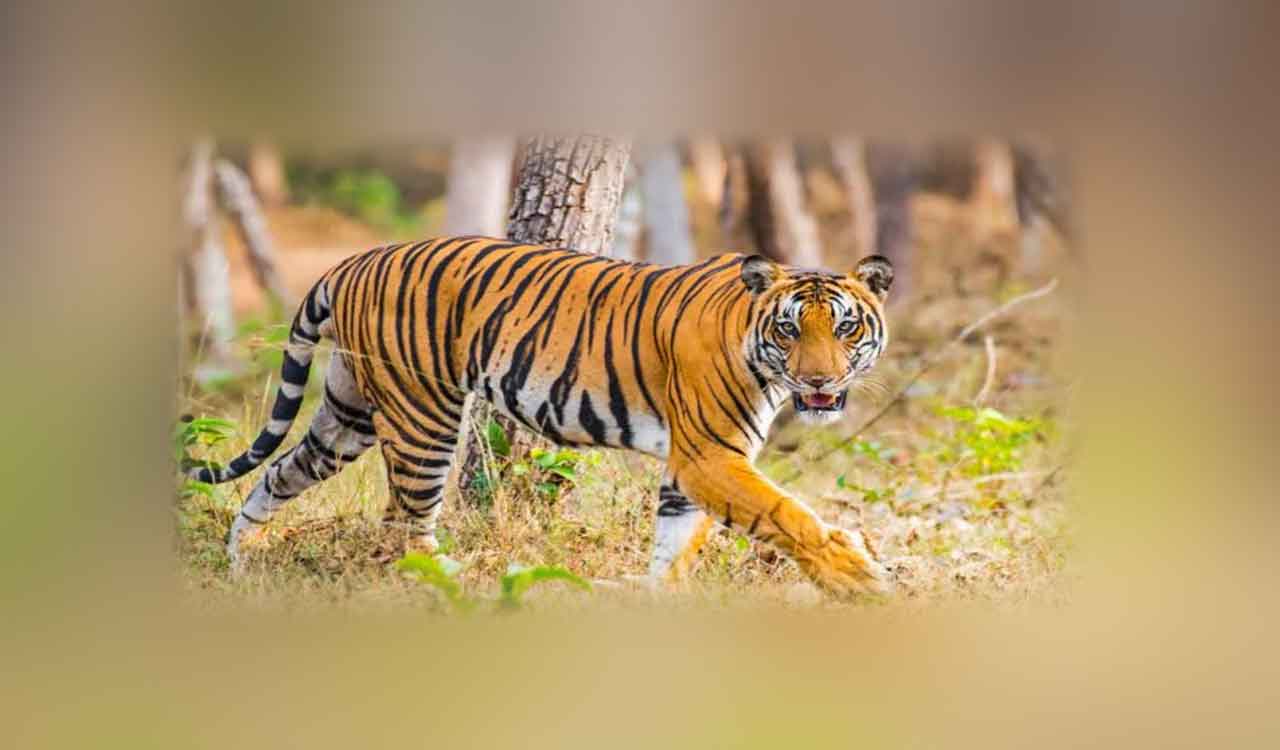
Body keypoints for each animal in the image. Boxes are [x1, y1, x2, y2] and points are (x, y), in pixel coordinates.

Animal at [190, 236, 896, 597]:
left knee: (280, 472)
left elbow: (675, 546)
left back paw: (240, 560)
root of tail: (352, 260)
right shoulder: (708, 456)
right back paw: (447, 587)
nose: (820, 380)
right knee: (403, 525)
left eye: (845, 327)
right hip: (424, 416)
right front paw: (860, 578)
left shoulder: (691, 467)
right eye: (789, 329)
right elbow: (786, 514)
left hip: (349, 412)